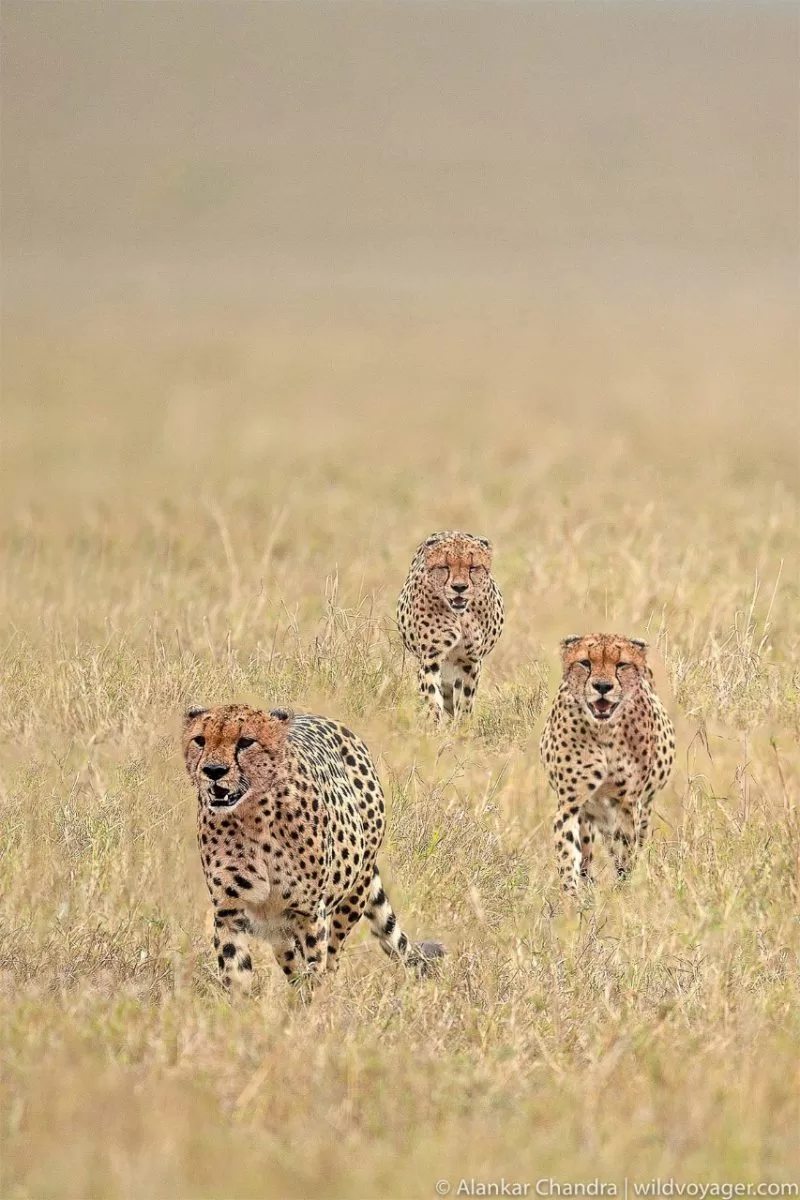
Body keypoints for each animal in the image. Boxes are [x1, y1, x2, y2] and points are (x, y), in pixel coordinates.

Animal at [183, 704, 444, 994]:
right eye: (200, 740)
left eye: (246, 742)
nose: (213, 770)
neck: (252, 817)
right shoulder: (229, 912)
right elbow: (236, 972)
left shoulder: (308, 914)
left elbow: (314, 968)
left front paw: (313, 1003)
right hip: (280, 928)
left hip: (354, 891)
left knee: (332, 955)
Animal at [396, 531, 504, 724]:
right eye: (444, 567)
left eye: (473, 567)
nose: (459, 587)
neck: (459, 615)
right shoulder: (430, 658)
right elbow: (432, 697)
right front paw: (433, 727)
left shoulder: (470, 660)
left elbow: (465, 700)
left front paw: (462, 727)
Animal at [540, 634, 675, 894]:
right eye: (585, 663)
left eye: (621, 665)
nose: (602, 687)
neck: (603, 731)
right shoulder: (570, 804)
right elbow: (569, 855)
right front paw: (571, 898)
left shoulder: (628, 804)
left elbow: (626, 854)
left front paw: (623, 891)